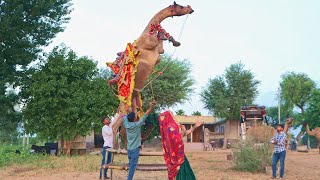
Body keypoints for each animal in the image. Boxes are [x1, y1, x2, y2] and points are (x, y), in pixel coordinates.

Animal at [107, 2, 194, 149]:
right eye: (181, 6)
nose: (191, 9)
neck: (148, 31)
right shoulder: (151, 45)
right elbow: (159, 40)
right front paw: (168, 37)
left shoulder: (158, 53)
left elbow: (162, 46)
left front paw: (174, 41)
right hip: (125, 108)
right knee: (115, 128)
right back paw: (113, 150)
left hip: (133, 106)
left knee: (125, 130)